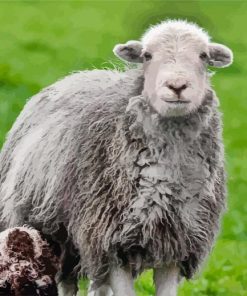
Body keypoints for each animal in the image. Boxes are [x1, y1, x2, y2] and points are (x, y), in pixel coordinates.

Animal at [0, 19, 233, 296]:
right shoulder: (110, 240)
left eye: (204, 56)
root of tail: (78, 75)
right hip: (54, 232)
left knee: (97, 287)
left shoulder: (175, 244)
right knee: (66, 283)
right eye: (147, 55)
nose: (177, 86)